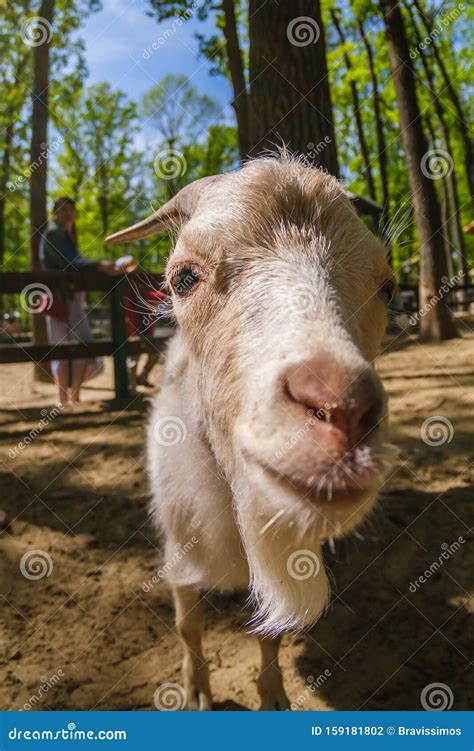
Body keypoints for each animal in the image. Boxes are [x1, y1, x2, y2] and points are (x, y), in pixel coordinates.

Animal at [107, 157, 396, 712]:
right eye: (184, 278)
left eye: (388, 287)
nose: (342, 407)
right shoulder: (179, 551)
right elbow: (187, 626)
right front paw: (195, 690)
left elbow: (269, 635)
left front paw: (273, 695)